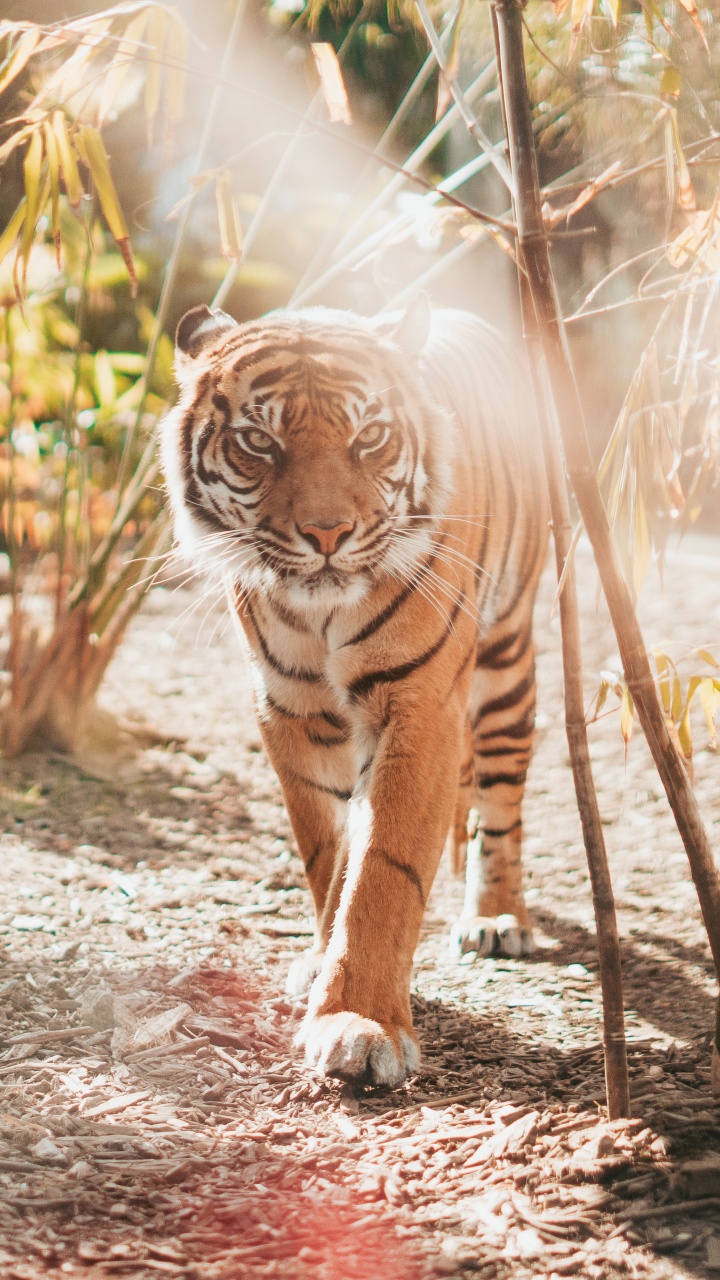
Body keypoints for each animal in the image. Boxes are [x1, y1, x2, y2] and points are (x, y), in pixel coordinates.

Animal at [161, 297, 548, 1087]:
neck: (319, 614)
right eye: (259, 441)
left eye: (369, 437)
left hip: (506, 665)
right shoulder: (290, 711)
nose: (327, 533)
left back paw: (497, 917)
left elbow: (382, 871)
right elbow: (329, 856)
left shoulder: (419, 705)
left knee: (500, 803)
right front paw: (321, 965)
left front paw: (360, 1024)